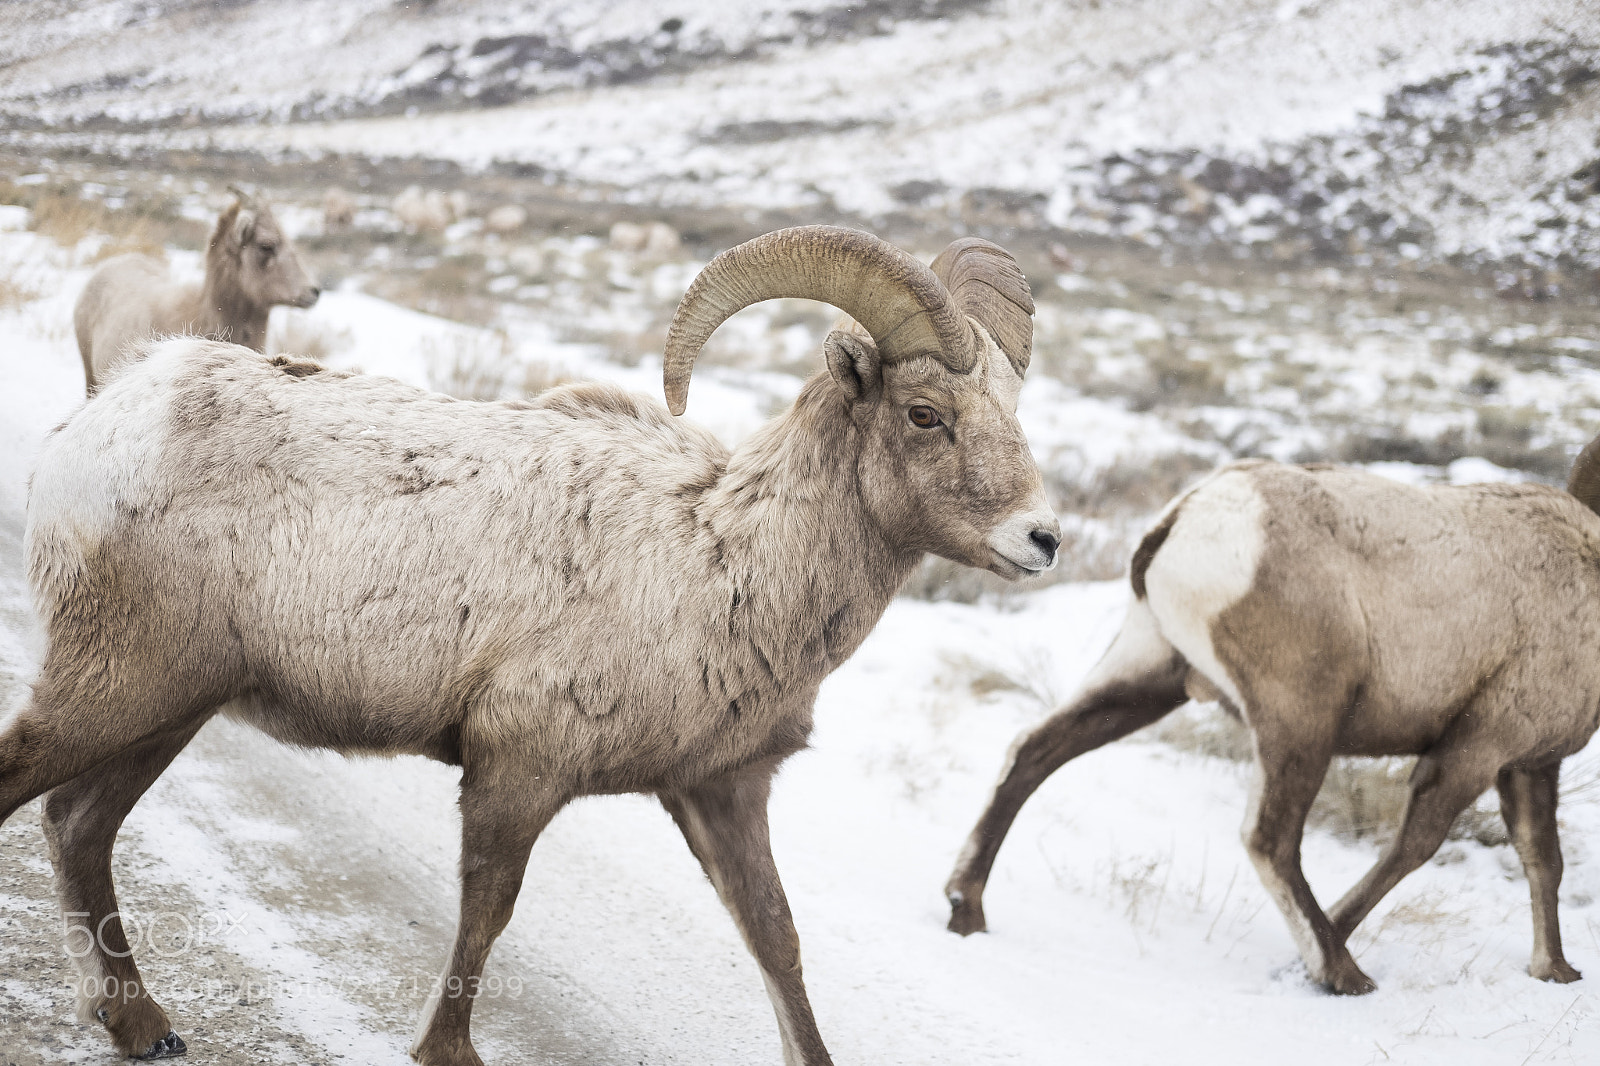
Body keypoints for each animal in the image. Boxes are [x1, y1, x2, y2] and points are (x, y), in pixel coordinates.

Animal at [4, 226, 1060, 1065]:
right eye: (925, 414)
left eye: (1013, 413)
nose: (1044, 539)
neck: (717, 556)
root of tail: (94, 428)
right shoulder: (521, 766)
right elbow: (488, 913)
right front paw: (445, 1052)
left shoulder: (721, 790)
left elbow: (779, 944)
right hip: (122, 686)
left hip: (170, 706)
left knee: (78, 824)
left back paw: (144, 1028)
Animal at [944, 455, 1600, 994]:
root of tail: (1190, 518)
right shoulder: (1478, 749)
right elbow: (1414, 848)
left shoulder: (1532, 763)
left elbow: (1544, 859)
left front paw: (1557, 970)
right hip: (1300, 724)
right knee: (1269, 838)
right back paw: (1343, 973)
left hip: (1147, 678)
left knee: (1033, 753)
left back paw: (965, 908)